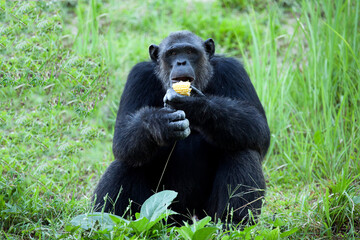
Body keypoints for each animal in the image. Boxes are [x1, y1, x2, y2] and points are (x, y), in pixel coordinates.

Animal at [93, 30, 270, 225]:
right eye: (172, 53)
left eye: (190, 51)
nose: (181, 62)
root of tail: (183, 221)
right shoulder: (138, 76)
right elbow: (122, 136)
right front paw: (159, 122)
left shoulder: (233, 70)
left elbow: (258, 126)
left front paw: (194, 104)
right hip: (156, 213)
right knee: (126, 161)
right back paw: (104, 223)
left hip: (204, 216)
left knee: (242, 150)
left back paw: (232, 223)